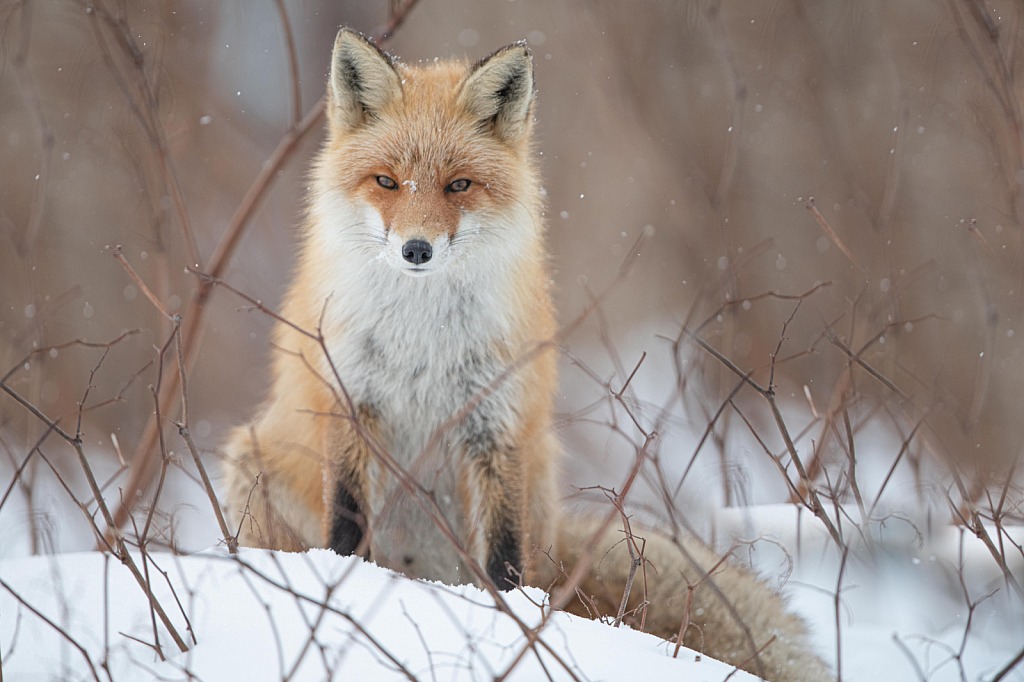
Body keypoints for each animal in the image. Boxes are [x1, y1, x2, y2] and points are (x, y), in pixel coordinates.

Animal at [222, 30, 831, 679]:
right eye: (386, 182)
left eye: (459, 185)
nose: (416, 250)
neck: (421, 342)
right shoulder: (350, 404)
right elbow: (345, 520)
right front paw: (343, 584)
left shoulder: (498, 425)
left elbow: (505, 558)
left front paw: (512, 626)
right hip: (251, 461)